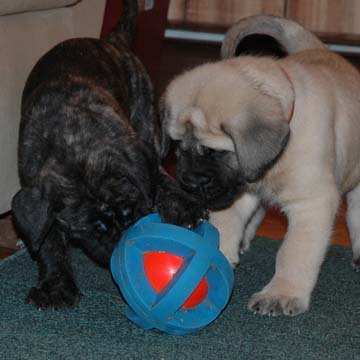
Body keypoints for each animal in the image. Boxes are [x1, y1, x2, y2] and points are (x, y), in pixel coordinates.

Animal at [11, 0, 205, 310]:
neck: (70, 140)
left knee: (160, 167)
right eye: (95, 229)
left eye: (130, 212)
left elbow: (155, 182)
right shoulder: (37, 185)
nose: (123, 246)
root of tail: (111, 41)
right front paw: (55, 285)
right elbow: (48, 239)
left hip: (144, 115)